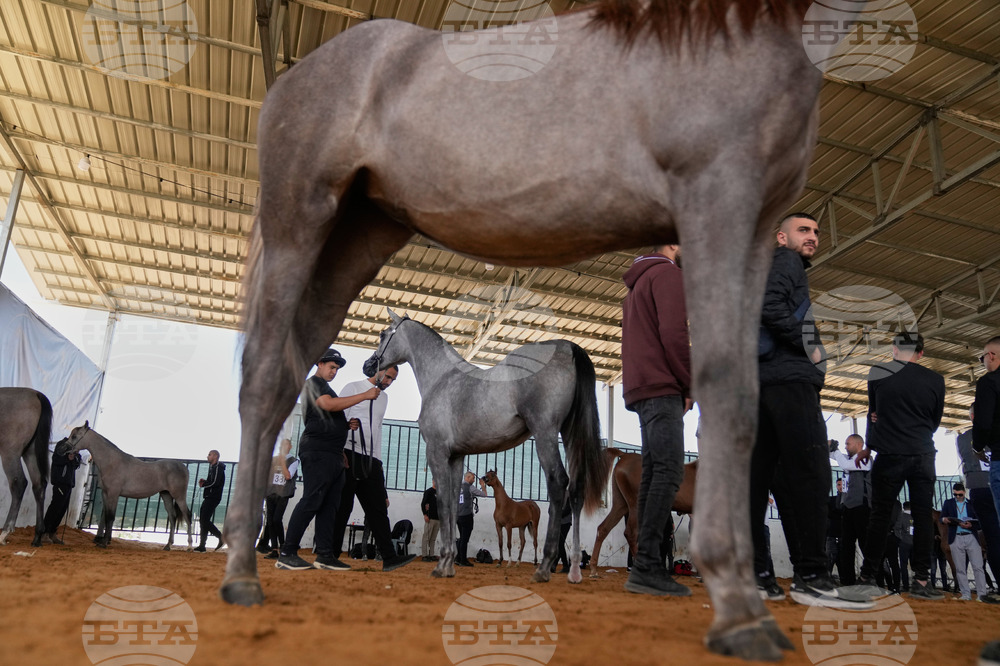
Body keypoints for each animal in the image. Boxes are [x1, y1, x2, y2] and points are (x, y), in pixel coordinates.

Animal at [0, 387, 52, 547]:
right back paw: (37, 536)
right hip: (30, 452)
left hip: (10, 453)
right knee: (39, 485)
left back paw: (5, 533)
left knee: (19, 483)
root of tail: (36, 394)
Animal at [60, 421, 193, 550]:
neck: (111, 462)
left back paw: (190, 546)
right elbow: (106, 516)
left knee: (187, 516)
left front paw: (104, 543)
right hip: (166, 495)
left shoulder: (113, 494)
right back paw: (168, 545)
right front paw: (104, 540)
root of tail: (184, 467)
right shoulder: (105, 493)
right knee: (172, 517)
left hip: (179, 496)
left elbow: (110, 517)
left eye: (74, 436)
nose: (62, 449)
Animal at [364, 311, 606, 583]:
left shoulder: (437, 451)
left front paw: (441, 565)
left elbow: (443, 501)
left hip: (545, 432)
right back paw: (574, 570)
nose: (368, 366)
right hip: (570, 434)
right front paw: (448, 565)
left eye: (383, 334)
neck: (441, 379)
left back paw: (544, 568)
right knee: (576, 490)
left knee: (558, 483)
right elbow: (452, 502)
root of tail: (569, 347)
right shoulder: (456, 457)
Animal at [590, 449, 698, 577]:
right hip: (635, 504)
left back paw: (593, 569)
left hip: (620, 504)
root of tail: (626, 455)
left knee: (603, 528)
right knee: (630, 534)